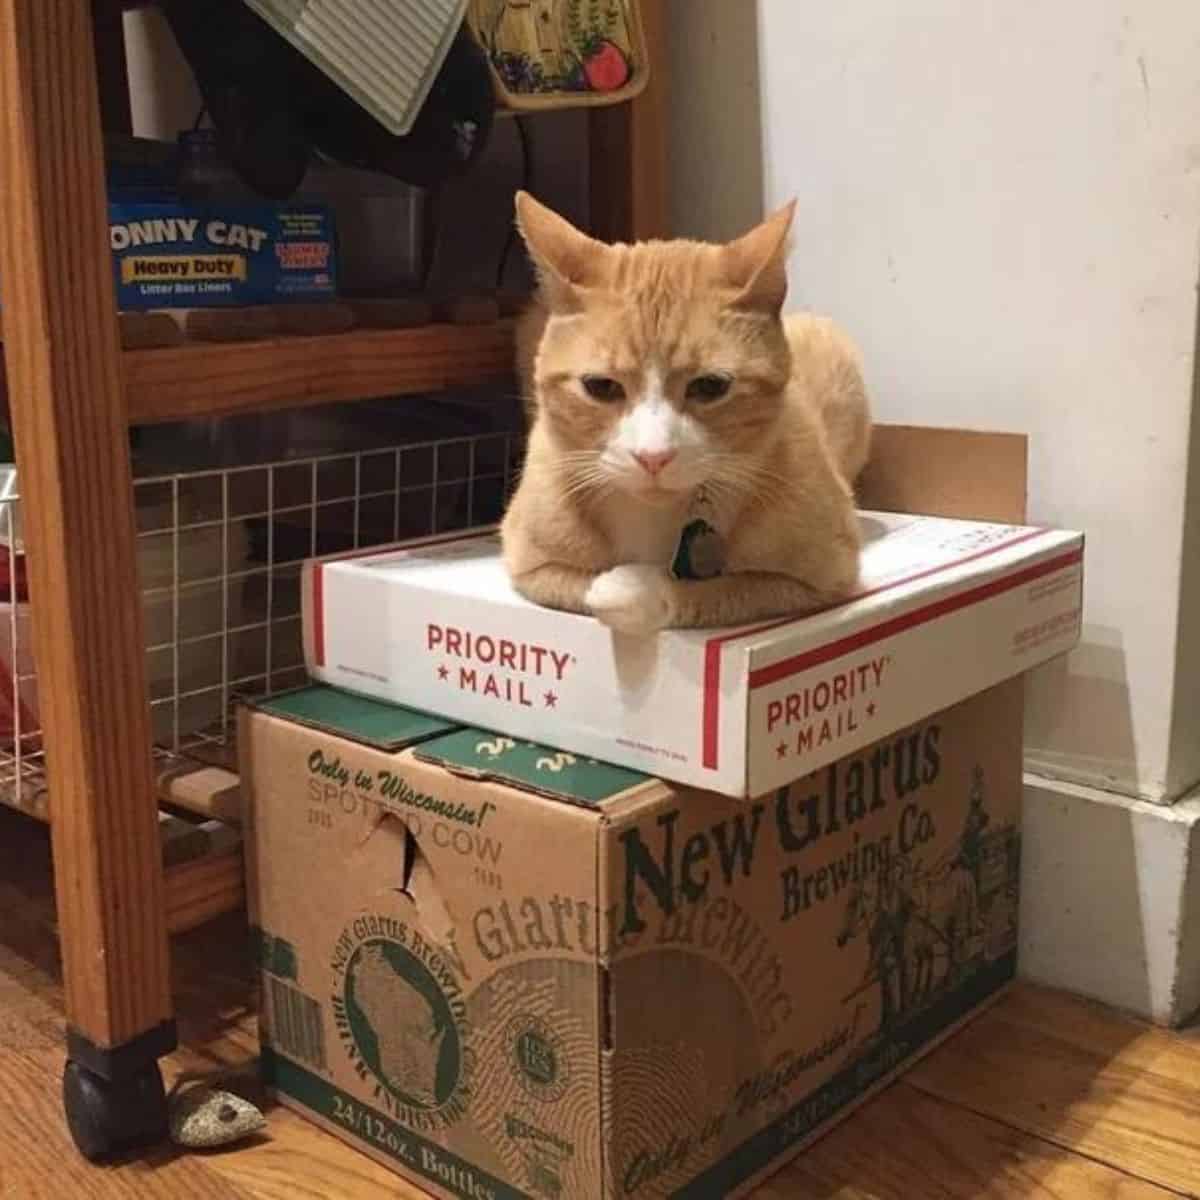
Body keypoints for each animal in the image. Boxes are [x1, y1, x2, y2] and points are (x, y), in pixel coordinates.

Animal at [499, 190, 873, 633]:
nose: (653, 457)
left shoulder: (820, 576)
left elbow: (713, 591)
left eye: (710, 387)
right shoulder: (527, 563)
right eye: (601, 387)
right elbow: (575, 584)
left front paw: (638, 588)